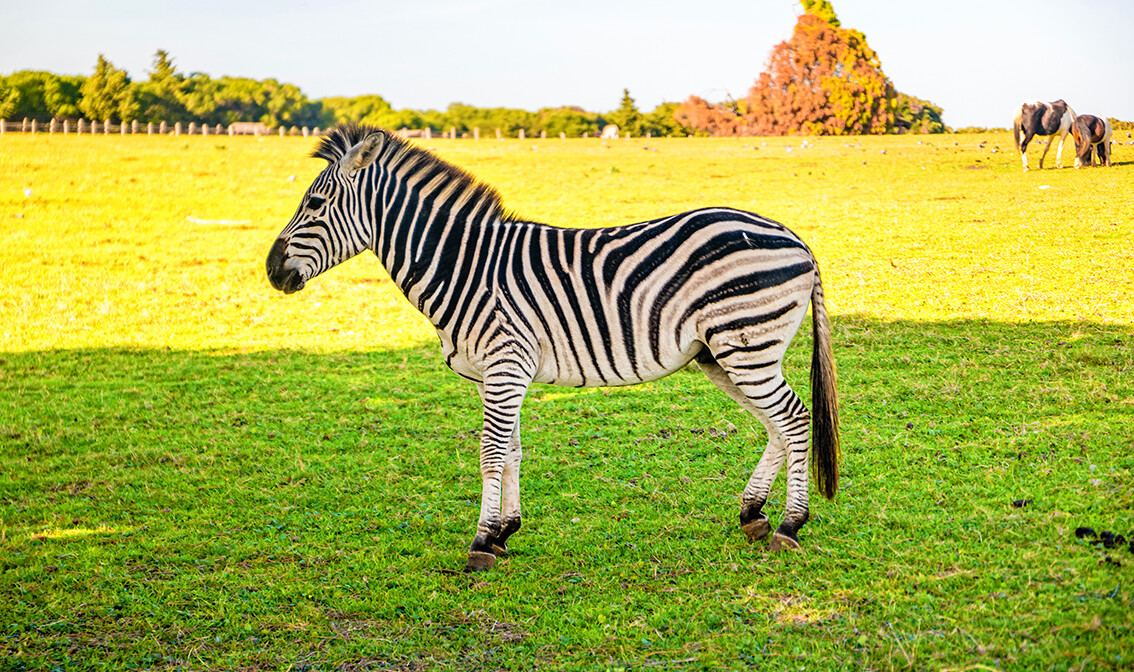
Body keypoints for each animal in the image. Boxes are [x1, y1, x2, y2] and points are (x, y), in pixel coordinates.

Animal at [263, 125, 834, 571]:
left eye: (314, 204)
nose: (271, 271)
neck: (464, 266)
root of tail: (794, 236)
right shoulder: (500, 371)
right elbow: (512, 449)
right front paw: (504, 531)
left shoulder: (506, 363)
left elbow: (491, 453)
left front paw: (480, 542)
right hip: (722, 354)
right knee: (776, 425)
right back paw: (754, 515)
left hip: (746, 344)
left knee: (793, 418)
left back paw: (790, 525)